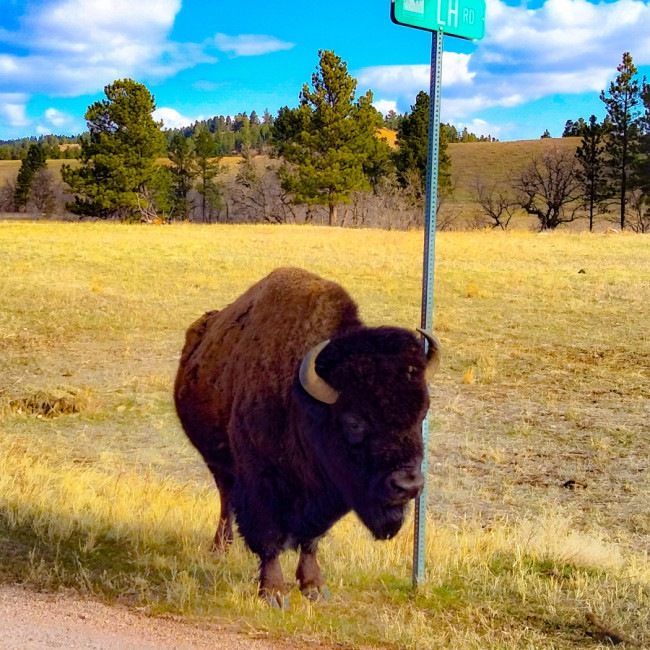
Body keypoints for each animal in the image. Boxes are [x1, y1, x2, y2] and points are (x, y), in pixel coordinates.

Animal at [172, 266, 438, 604]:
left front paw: (314, 587)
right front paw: (274, 592)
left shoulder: (324, 496)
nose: (407, 486)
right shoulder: (261, 482)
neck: (299, 401)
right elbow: (267, 535)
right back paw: (221, 547)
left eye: (422, 412)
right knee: (225, 497)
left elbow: (311, 539)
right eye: (354, 422)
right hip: (217, 461)